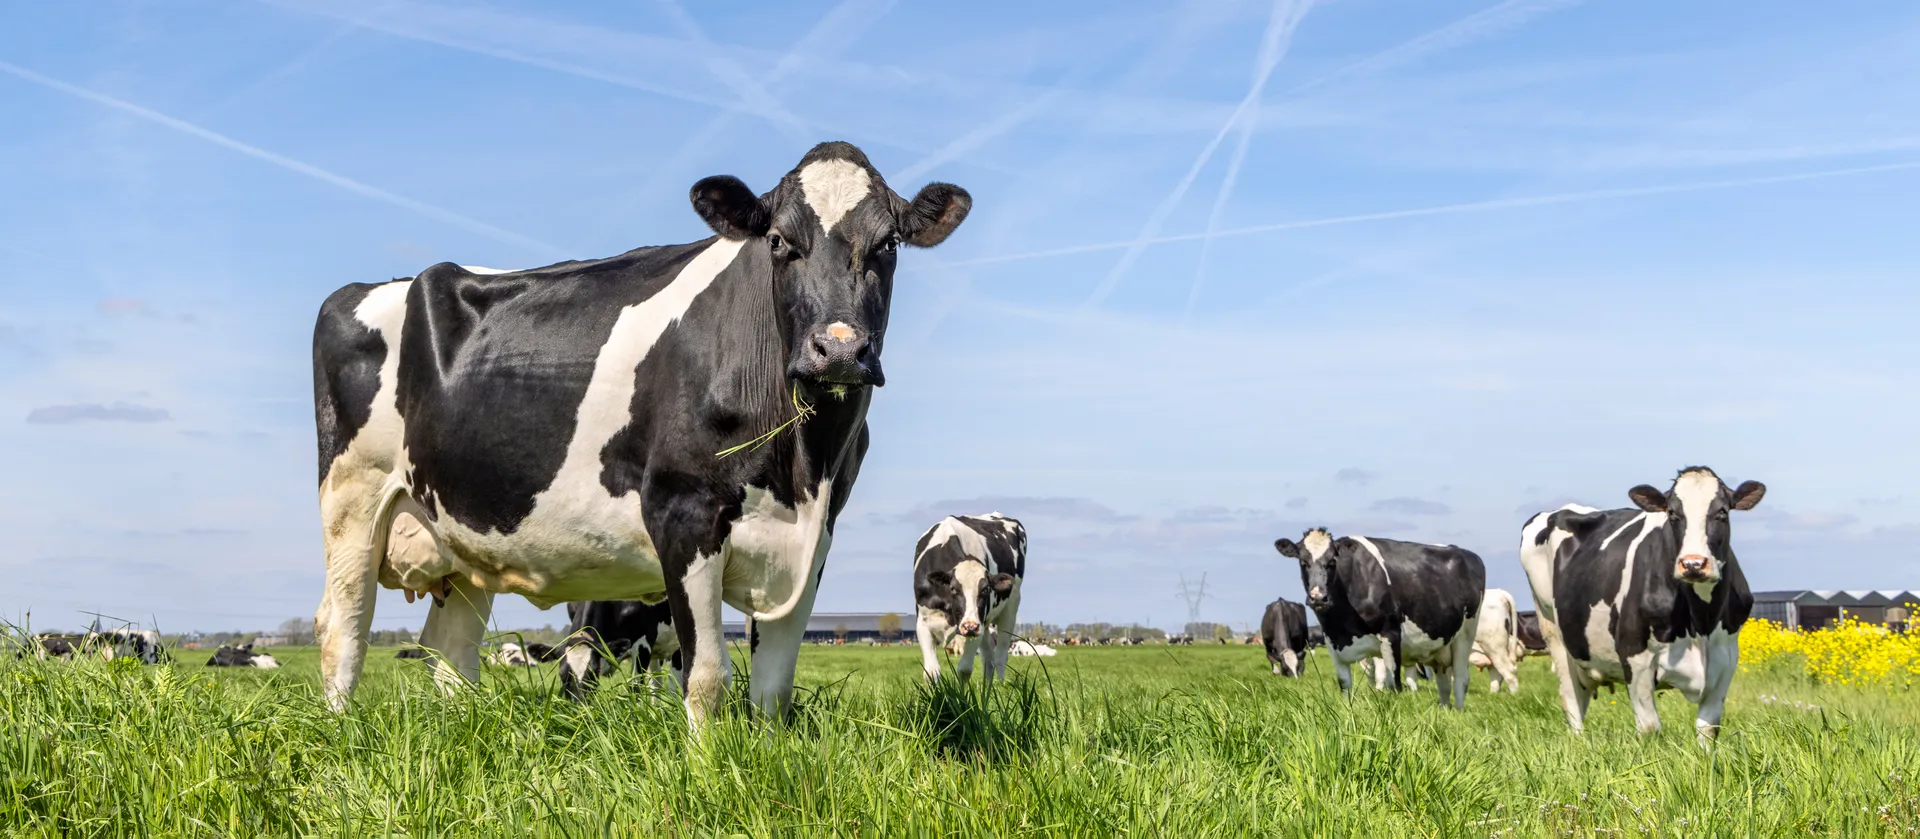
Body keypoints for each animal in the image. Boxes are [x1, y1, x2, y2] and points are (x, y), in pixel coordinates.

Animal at [310, 141, 970, 729]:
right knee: (344, 626)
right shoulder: (683, 512)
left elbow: (773, 687)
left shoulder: (816, 538)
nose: (839, 350)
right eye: (780, 242)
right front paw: (707, 769)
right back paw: (342, 734)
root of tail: (377, 285)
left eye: (888, 244)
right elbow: (705, 676)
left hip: (461, 539)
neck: (803, 467)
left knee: (450, 653)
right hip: (353, 497)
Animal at [913, 514, 1026, 683]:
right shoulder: (923, 623)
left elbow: (964, 669)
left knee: (1000, 656)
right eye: (953, 589)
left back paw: (1001, 686)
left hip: (1010, 607)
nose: (970, 626)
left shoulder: (977, 626)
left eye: (986, 589)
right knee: (988, 659)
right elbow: (931, 672)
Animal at [1276, 528, 1485, 707]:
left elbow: (1394, 684)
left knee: (1460, 678)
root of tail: (1468, 554)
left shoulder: (1390, 635)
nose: (1318, 597)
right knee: (1443, 680)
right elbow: (1345, 684)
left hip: (1466, 634)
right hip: (1440, 645)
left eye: (1332, 562)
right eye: (1303, 562)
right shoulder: (1332, 642)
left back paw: (1458, 711)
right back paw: (1444, 710)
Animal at [1518, 467, 1765, 741]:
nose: (1693, 564)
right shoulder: (1635, 655)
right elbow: (1649, 727)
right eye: (1672, 513)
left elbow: (1708, 729)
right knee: (1571, 702)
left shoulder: (1725, 659)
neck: (1701, 622)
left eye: (1722, 511)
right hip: (1554, 633)